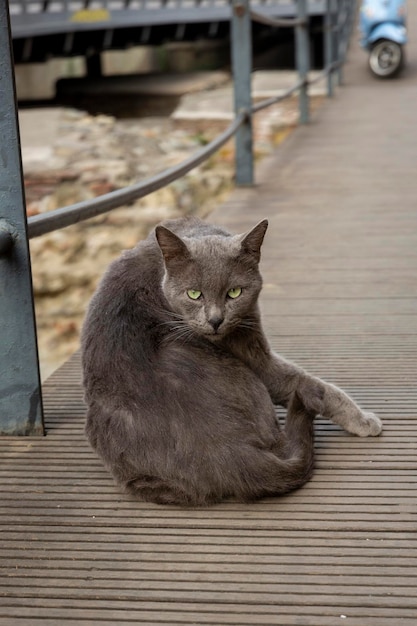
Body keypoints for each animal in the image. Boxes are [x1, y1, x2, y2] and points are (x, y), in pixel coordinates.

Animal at [80, 217, 380, 504]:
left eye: (234, 292)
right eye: (194, 294)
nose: (215, 320)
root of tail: (221, 452)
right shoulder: (255, 354)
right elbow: (314, 384)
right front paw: (365, 420)